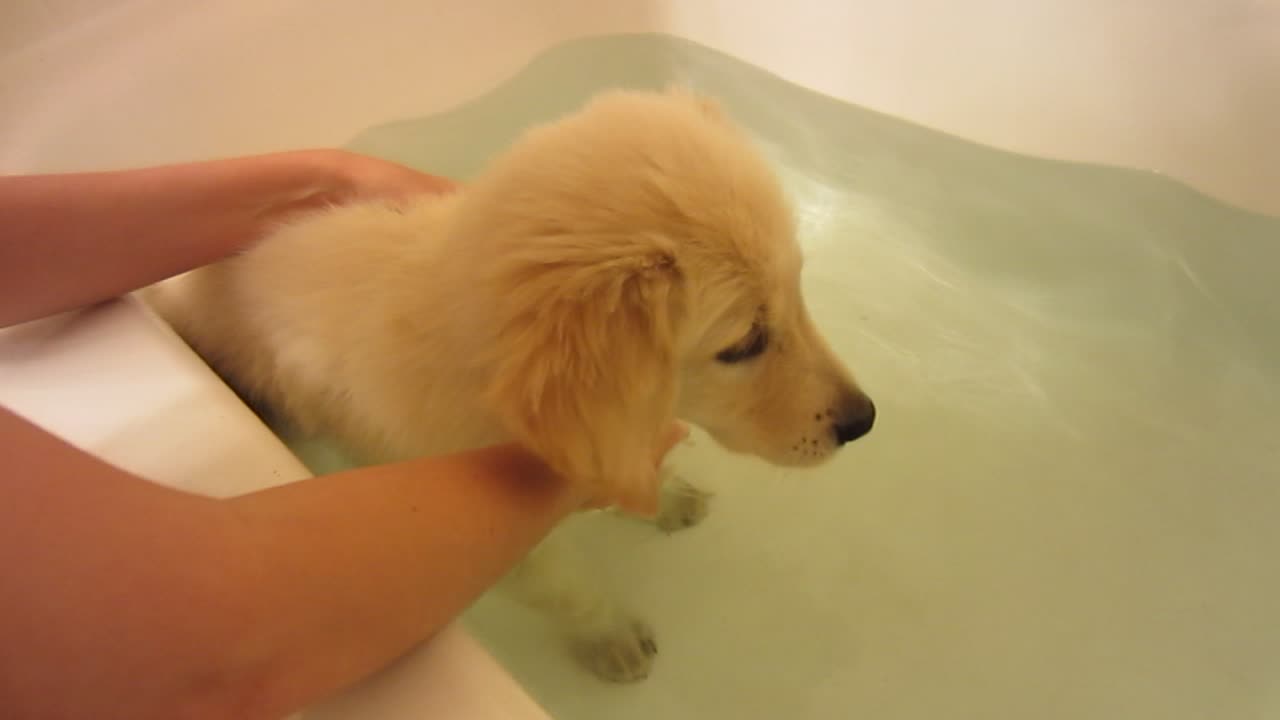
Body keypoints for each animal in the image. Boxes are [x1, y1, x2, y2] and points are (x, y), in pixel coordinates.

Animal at [145, 87, 875, 681]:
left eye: (800, 290)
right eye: (743, 344)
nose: (863, 420)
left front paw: (667, 498)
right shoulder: (500, 540)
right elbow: (569, 589)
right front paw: (611, 637)